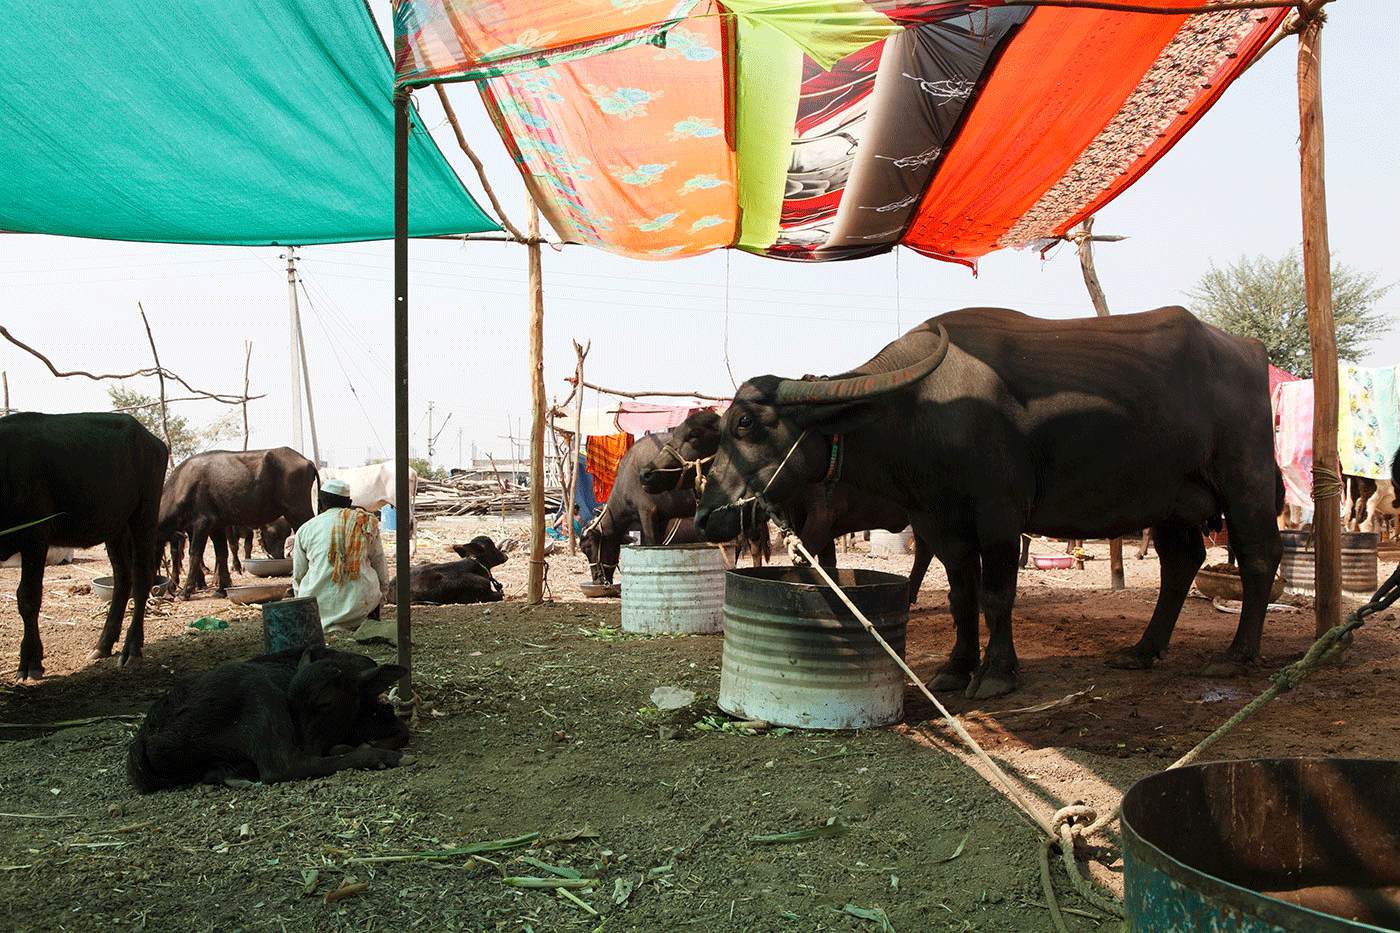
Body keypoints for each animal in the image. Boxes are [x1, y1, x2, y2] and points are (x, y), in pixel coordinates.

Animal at [0, 411, 168, 675]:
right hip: (115, 528)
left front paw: (30, 661)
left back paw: (132, 648)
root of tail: (152, 440)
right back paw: (103, 644)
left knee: (142, 577)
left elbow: (28, 598)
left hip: (144, 515)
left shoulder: (35, 537)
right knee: (123, 577)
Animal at [123, 644, 408, 790]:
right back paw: (383, 757)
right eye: (290, 701)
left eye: (326, 703)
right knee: (283, 767)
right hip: (258, 695)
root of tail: (145, 736)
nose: (304, 744)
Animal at [160, 445, 319, 596]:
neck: (184, 484)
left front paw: (185, 591)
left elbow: (194, 554)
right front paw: (222, 588)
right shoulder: (216, 527)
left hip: (297, 511)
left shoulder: (201, 523)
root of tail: (308, 462)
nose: (279, 556)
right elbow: (222, 554)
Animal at [694, 305, 1282, 697]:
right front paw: (956, 667)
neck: (922, 409)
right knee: (1181, 563)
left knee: (1258, 559)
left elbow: (997, 596)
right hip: (1170, 501)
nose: (704, 514)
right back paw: (1142, 650)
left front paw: (997, 672)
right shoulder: (940, 522)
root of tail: (1246, 350)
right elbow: (962, 596)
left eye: (745, 423)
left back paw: (1237, 655)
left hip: (1246, 481)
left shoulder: (1000, 516)